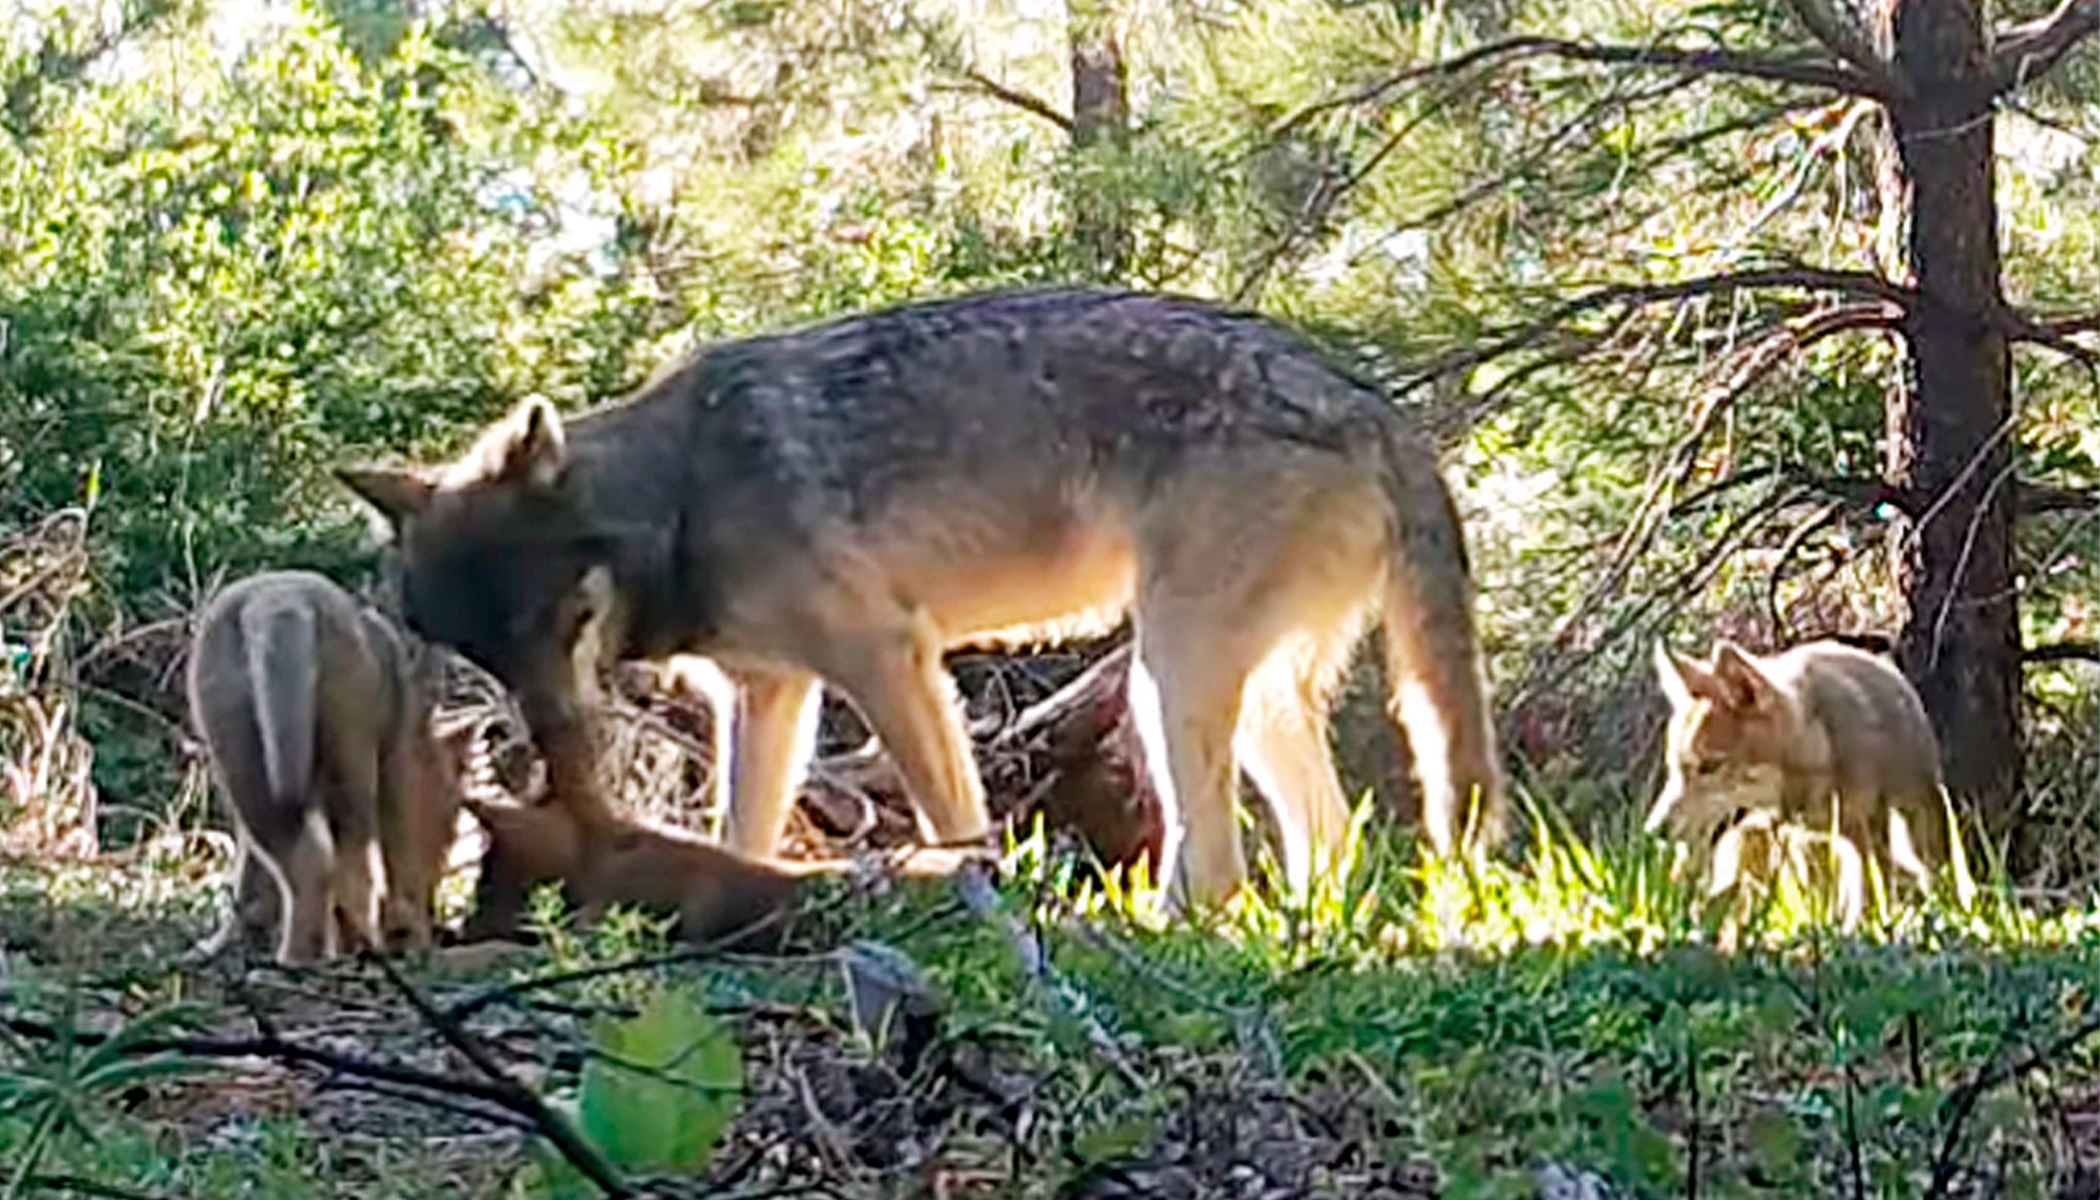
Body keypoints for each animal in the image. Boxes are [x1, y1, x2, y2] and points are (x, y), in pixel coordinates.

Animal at [186, 571, 470, 966]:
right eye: (453, 813)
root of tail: (279, 604)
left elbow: (249, 872)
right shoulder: (395, 770)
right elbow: (400, 859)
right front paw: (412, 936)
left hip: (239, 747)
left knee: (301, 858)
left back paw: (290, 953)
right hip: (347, 749)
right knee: (348, 860)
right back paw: (346, 946)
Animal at [336, 292, 1503, 907]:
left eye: (550, 623)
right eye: (481, 655)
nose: (553, 748)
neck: (682, 495)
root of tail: (1376, 403)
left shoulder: (888, 658)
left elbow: (952, 810)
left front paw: (966, 888)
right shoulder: (767, 696)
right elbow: (742, 828)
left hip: (1166, 683)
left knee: (1216, 864)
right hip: (1236, 700)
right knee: (1332, 840)